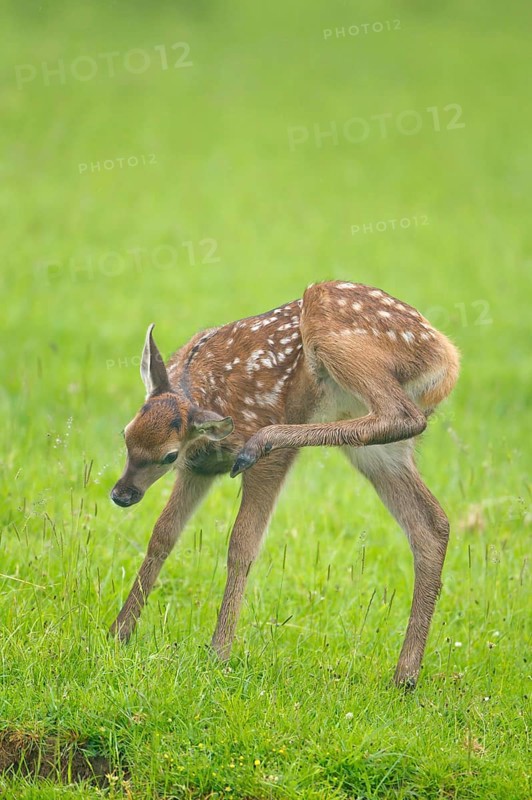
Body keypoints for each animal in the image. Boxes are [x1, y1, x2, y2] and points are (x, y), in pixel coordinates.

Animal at [110, 280, 459, 688]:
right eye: (126, 434)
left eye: (167, 455)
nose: (122, 494)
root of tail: (447, 358)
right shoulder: (197, 470)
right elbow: (163, 534)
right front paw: (119, 632)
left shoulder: (258, 466)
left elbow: (242, 544)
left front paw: (219, 652)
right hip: (381, 451)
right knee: (431, 523)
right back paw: (405, 676)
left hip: (328, 318)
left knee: (402, 415)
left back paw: (265, 439)